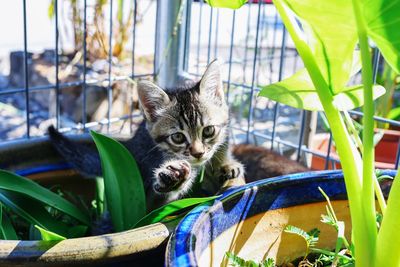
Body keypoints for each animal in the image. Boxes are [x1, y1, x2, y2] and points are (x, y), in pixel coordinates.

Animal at [48, 60, 245, 211]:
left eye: (208, 130)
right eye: (178, 137)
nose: (198, 153)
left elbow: (222, 145)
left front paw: (226, 164)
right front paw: (173, 180)